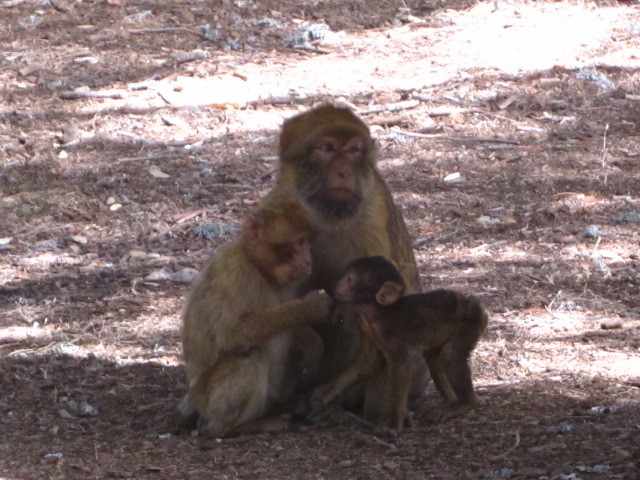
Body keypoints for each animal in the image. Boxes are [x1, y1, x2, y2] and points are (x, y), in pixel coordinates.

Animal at [179, 189, 332, 437]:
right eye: (299, 243)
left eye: (308, 243)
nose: (308, 259)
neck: (259, 267)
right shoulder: (236, 275)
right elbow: (231, 335)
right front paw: (309, 308)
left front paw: (311, 340)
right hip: (209, 402)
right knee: (250, 353)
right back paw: (236, 427)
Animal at [274, 103, 428, 422]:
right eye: (327, 148)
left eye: (354, 149)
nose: (344, 171)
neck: (328, 216)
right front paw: (305, 336)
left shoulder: (371, 223)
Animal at [313, 256, 488, 434]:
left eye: (350, 278)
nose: (339, 282)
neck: (375, 312)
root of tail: (470, 302)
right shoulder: (362, 323)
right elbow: (369, 361)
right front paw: (327, 394)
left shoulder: (388, 333)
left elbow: (401, 367)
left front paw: (393, 424)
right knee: (432, 357)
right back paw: (451, 401)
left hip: (471, 321)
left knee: (450, 356)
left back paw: (466, 403)